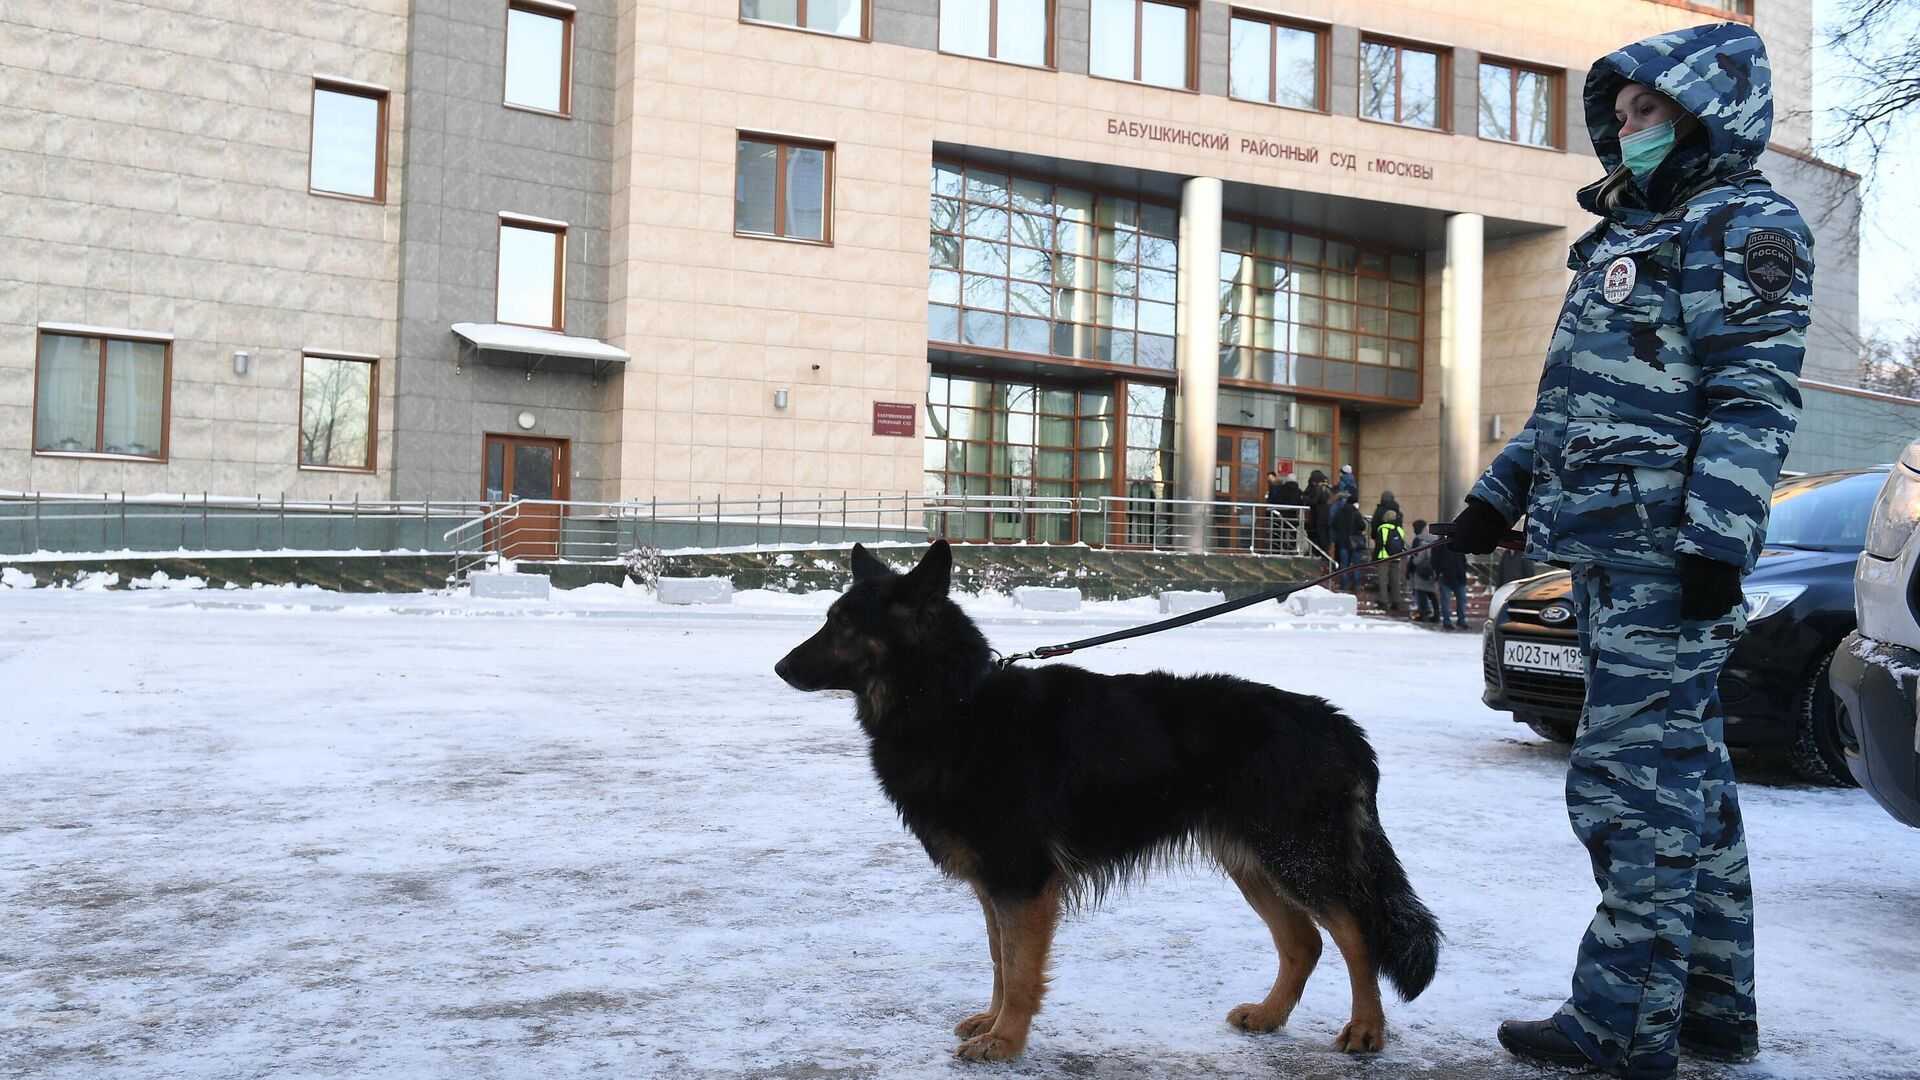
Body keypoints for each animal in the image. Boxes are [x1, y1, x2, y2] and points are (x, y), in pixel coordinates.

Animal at [771, 538, 1436, 1060]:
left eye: (845, 625)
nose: (779, 668)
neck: (952, 701)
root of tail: (1336, 723)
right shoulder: (997, 884)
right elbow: (999, 960)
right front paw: (993, 1022)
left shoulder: (1022, 883)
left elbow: (1020, 968)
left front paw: (1005, 1041)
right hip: (1252, 860)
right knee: (1305, 942)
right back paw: (1270, 1016)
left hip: (1296, 857)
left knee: (1356, 933)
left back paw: (1366, 1030)